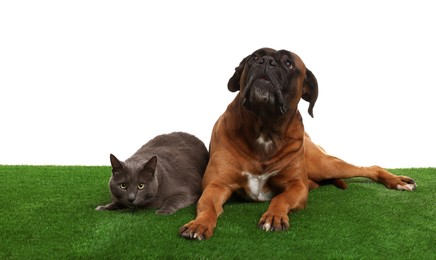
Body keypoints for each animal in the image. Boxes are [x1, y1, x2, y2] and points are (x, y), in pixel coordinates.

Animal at [180, 47, 416, 240]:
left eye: (288, 63)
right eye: (253, 57)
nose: (265, 61)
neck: (264, 129)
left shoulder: (297, 186)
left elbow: (281, 198)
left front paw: (273, 216)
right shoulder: (216, 185)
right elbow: (208, 205)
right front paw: (199, 224)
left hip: (325, 165)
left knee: (369, 168)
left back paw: (397, 181)